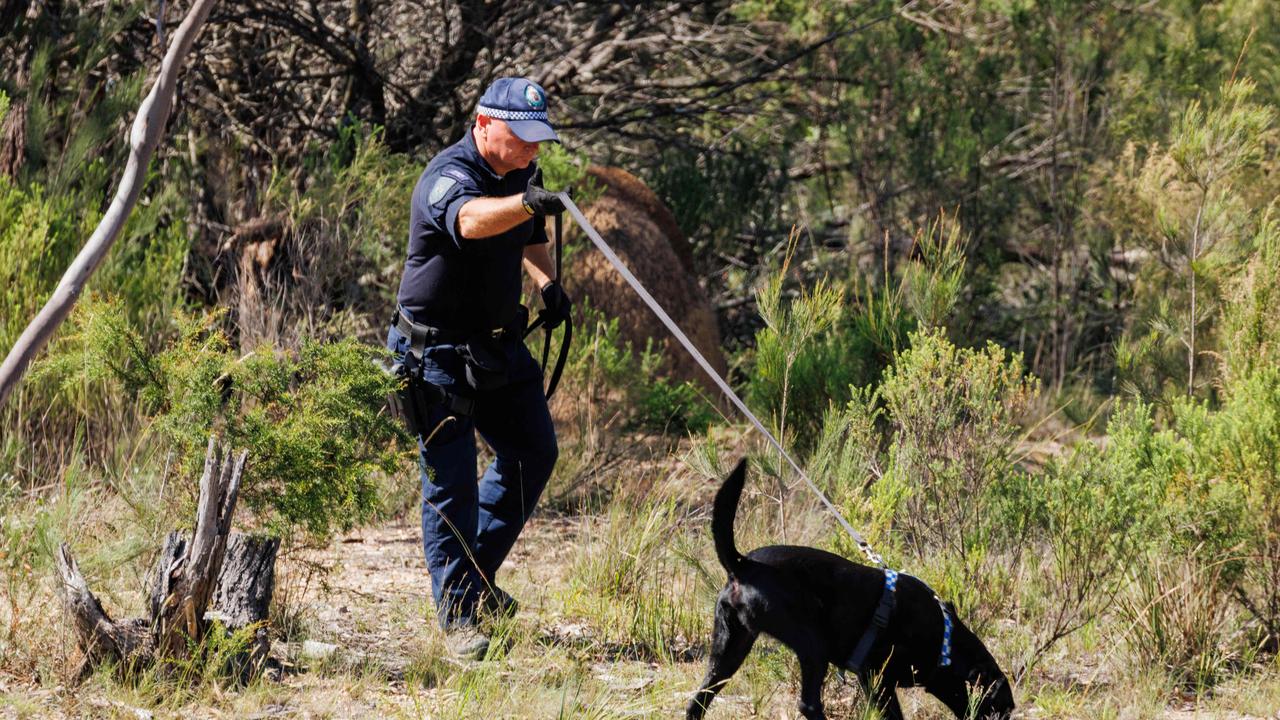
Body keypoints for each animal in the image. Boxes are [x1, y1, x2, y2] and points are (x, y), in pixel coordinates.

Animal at [686, 458, 1013, 717]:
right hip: (811, 645)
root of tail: (742, 564)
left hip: (730, 646)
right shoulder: (877, 679)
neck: (944, 638)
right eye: (1000, 710)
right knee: (808, 704)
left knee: (697, 701)